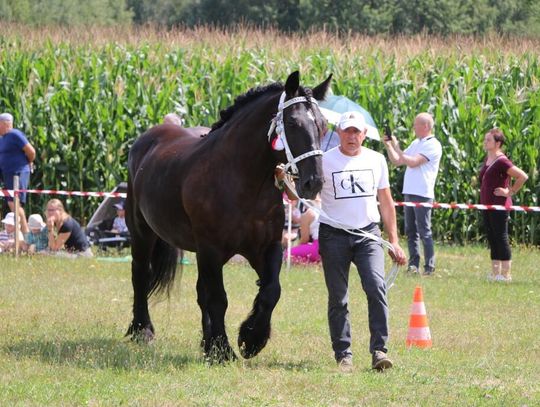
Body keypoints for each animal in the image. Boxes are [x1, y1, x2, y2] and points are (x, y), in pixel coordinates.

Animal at [126, 71, 332, 364]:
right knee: (141, 275)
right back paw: (142, 330)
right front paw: (223, 349)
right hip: (142, 232)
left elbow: (271, 291)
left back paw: (205, 342)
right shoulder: (211, 250)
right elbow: (218, 299)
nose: (313, 182)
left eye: (323, 125)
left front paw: (251, 338)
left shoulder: (267, 248)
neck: (241, 181)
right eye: (293, 123)